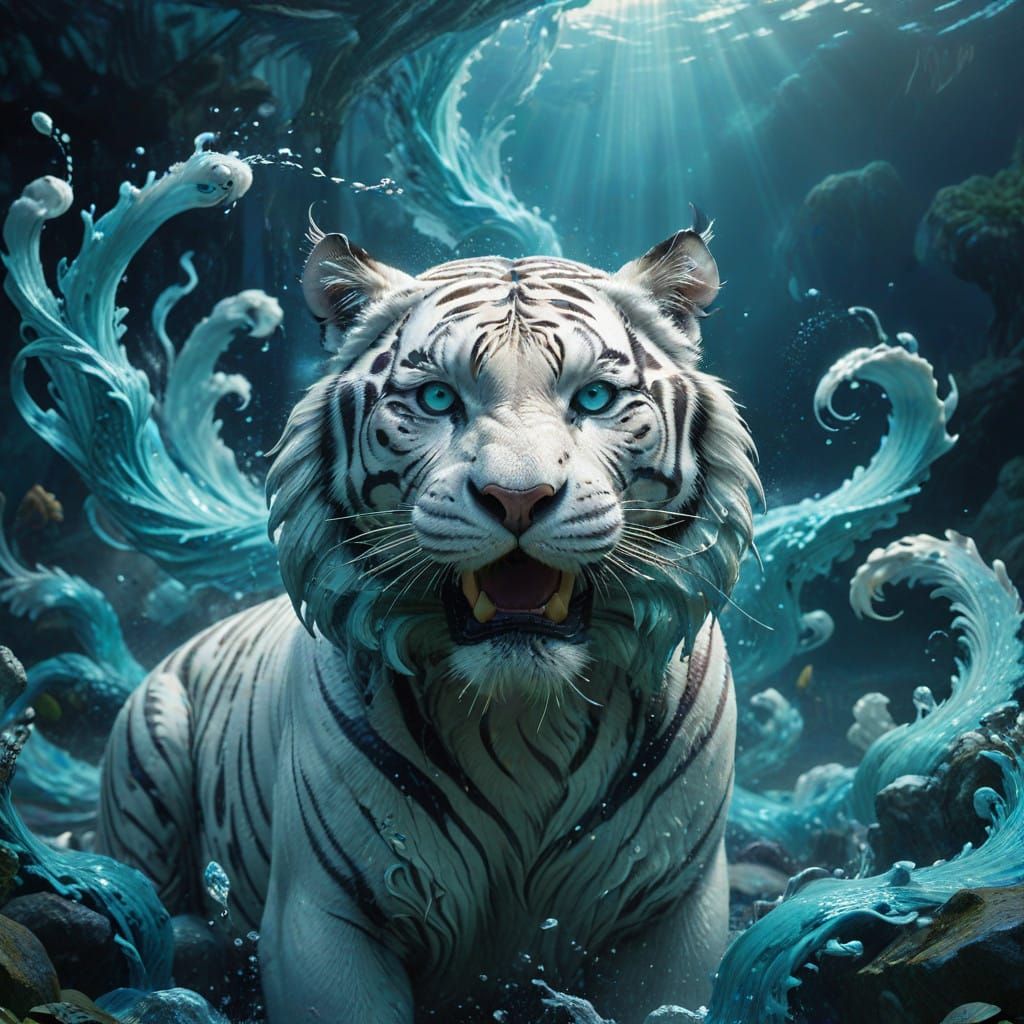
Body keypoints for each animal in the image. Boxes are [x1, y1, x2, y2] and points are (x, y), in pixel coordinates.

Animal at [97, 217, 760, 1024]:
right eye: (440, 399)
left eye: (596, 397)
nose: (518, 497)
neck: (523, 714)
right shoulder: (326, 916)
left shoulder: (670, 913)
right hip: (150, 738)